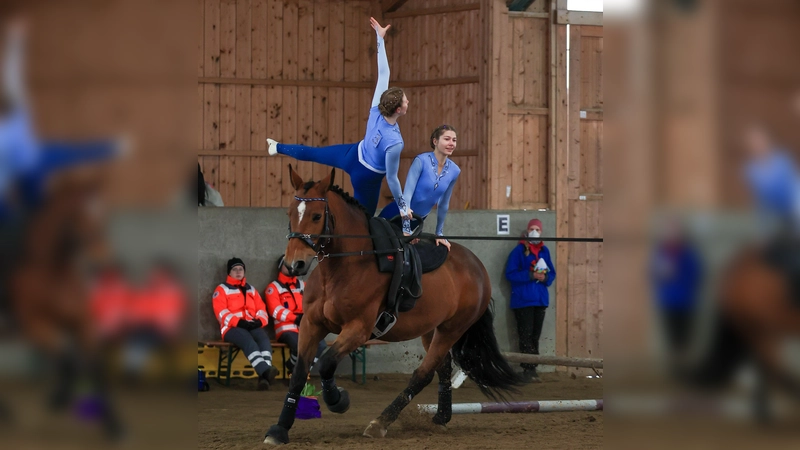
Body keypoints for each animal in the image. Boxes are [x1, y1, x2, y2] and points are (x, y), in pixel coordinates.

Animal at [264, 167, 524, 444]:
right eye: (290, 213)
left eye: (315, 216)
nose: (295, 264)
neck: (344, 267)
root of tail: (478, 267)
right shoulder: (311, 325)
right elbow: (299, 373)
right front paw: (279, 428)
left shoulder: (358, 330)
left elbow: (325, 364)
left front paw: (338, 399)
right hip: (431, 329)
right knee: (442, 368)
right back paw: (440, 418)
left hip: (452, 329)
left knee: (423, 373)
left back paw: (381, 422)